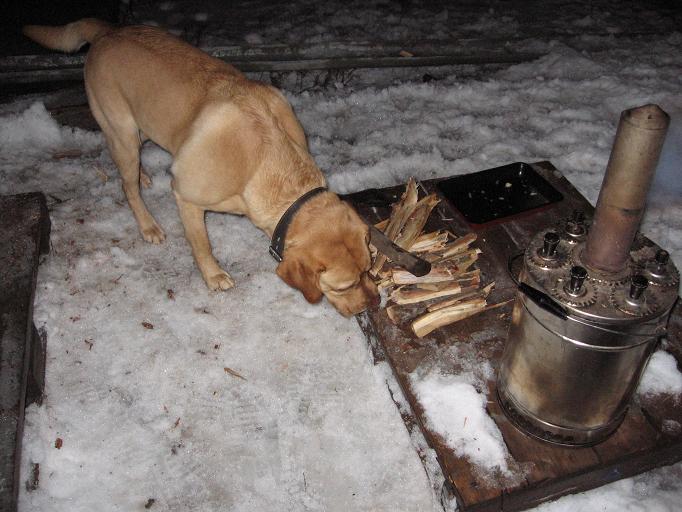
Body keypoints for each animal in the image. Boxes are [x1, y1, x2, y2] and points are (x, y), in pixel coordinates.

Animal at [23, 19, 378, 316]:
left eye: (369, 268)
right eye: (344, 286)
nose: (375, 303)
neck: (264, 161)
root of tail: (107, 32)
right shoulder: (187, 197)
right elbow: (202, 244)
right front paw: (213, 275)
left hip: (143, 127)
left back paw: (143, 176)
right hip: (121, 131)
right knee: (126, 185)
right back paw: (148, 224)